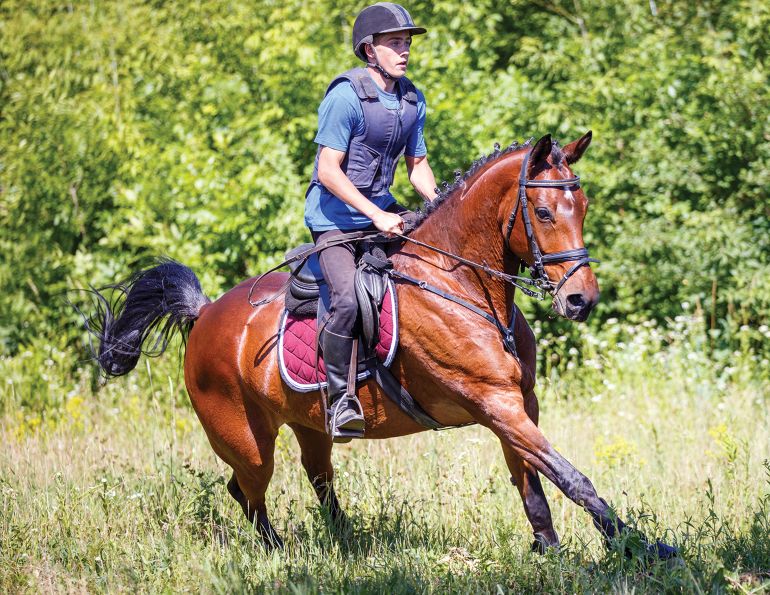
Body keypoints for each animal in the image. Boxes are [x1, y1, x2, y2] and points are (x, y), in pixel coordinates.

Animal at [83, 132, 677, 560]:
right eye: (546, 213)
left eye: (585, 206)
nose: (581, 300)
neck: (464, 286)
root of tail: (204, 314)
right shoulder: (495, 403)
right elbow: (571, 477)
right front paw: (639, 547)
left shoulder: (517, 404)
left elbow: (531, 481)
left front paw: (550, 552)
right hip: (246, 438)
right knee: (245, 490)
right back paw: (280, 554)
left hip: (310, 426)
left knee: (318, 481)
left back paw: (349, 544)